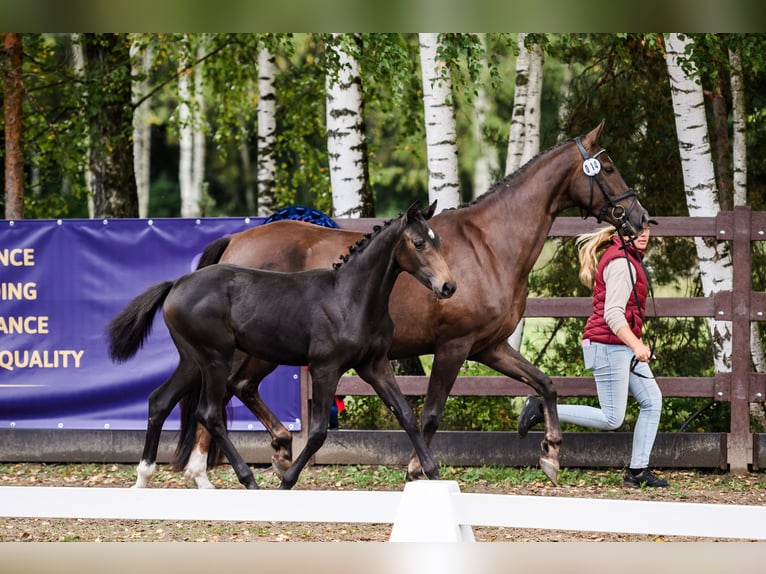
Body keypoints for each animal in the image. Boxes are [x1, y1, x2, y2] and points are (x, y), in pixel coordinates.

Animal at [107, 201, 456, 490]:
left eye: (439, 241)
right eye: (419, 243)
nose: (448, 286)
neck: (350, 298)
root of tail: (176, 284)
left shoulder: (374, 364)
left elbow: (406, 415)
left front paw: (432, 474)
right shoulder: (325, 368)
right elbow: (318, 432)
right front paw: (286, 480)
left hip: (193, 360)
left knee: (159, 401)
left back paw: (144, 478)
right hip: (216, 359)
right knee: (209, 413)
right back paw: (247, 479)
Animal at [175, 120, 651, 488]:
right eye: (608, 167)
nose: (640, 218)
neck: (489, 245)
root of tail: (235, 241)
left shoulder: (490, 347)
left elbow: (545, 384)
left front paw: (550, 454)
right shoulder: (454, 347)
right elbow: (431, 413)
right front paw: (417, 470)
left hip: (263, 351)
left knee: (238, 389)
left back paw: (276, 452)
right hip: (244, 349)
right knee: (218, 399)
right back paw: (208, 472)